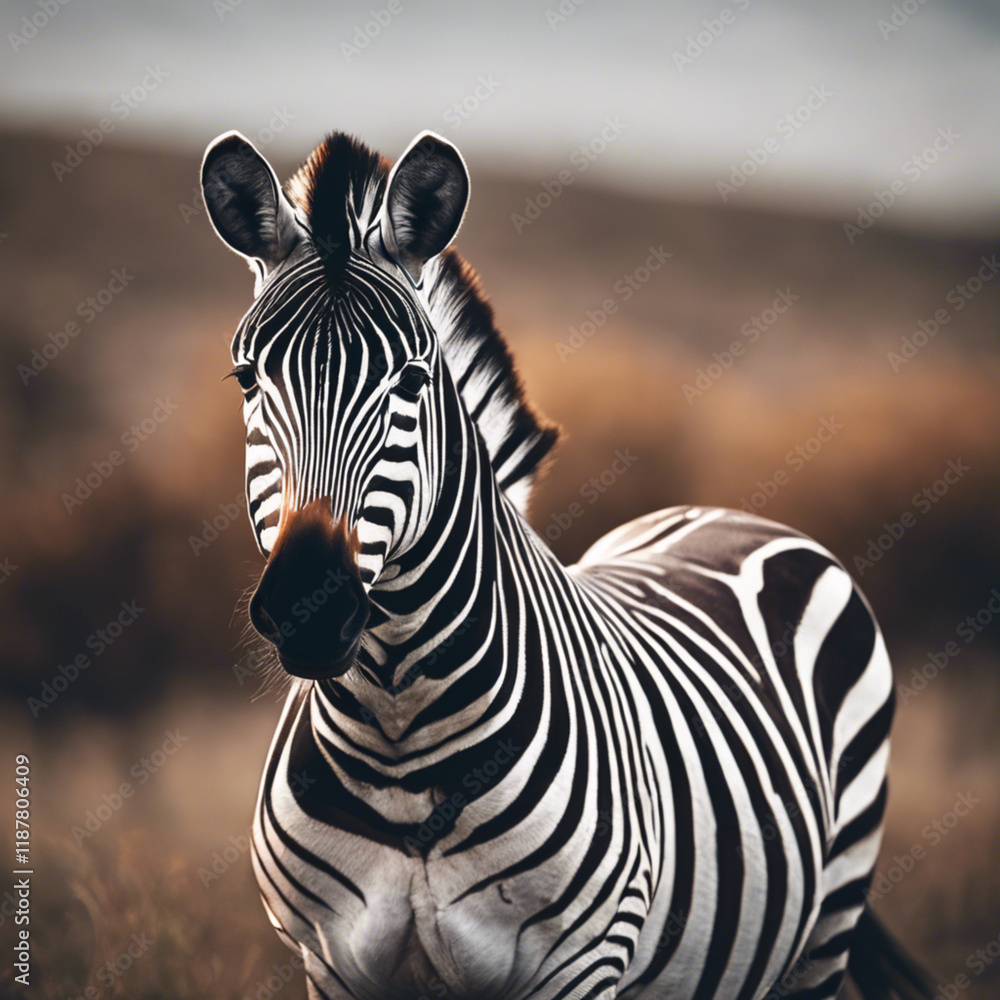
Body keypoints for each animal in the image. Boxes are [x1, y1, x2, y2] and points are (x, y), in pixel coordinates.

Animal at [200, 127, 936, 1000]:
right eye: (248, 377)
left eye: (411, 379)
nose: (310, 607)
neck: (399, 736)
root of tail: (727, 513)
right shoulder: (332, 963)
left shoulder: (582, 961)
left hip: (827, 921)